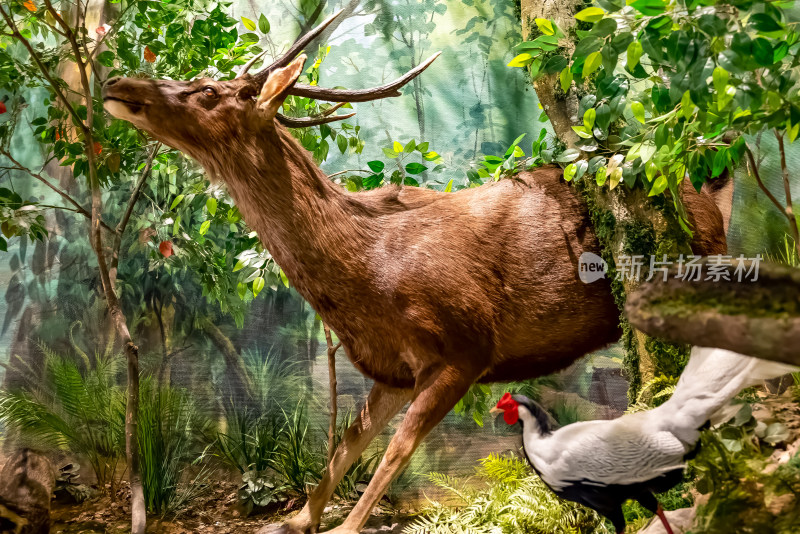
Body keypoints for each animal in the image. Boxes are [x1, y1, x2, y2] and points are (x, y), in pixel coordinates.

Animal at [101, 9, 732, 534]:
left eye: (209, 89)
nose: (116, 84)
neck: (368, 277)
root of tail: (715, 185)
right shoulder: (393, 369)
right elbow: (347, 443)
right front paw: (296, 518)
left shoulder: (465, 348)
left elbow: (396, 451)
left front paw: (342, 525)